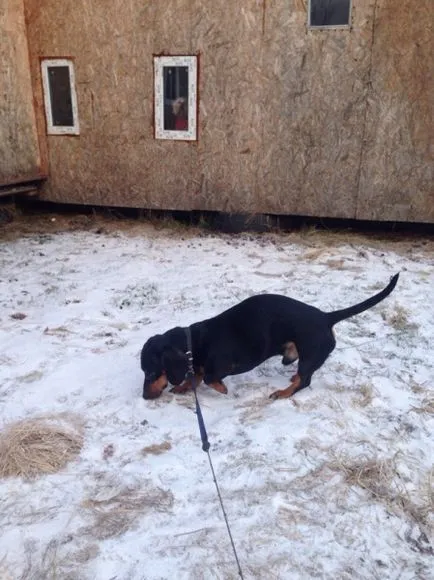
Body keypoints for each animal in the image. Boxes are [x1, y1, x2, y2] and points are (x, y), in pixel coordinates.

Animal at [141, 274, 398, 402]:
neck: (193, 343)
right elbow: (195, 376)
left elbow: (208, 378)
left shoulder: (222, 366)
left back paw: (283, 393)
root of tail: (326, 317)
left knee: (305, 381)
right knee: (302, 377)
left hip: (308, 355)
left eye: (151, 373)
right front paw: (183, 387)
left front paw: (222, 389)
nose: (143, 397)